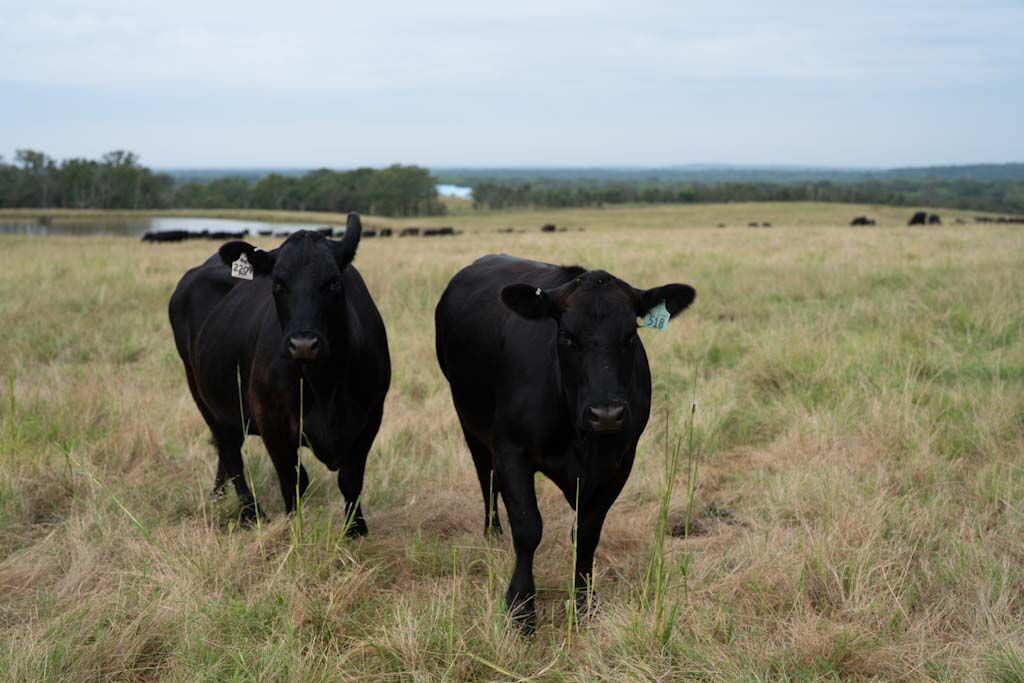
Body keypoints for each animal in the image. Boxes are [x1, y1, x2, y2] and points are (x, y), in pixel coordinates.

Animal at [168, 213, 390, 536]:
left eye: (333, 281)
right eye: (277, 283)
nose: (303, 344)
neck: (325, 384)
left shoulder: (370, 417)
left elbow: (350, 480)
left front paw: (356, 531)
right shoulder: (271, 420)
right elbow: (293, 480)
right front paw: (295, 529)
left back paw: (217, 497)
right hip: (201, 393)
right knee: (230, 453)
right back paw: (251, 513)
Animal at [434, 254, 696, 629]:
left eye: (631, 334)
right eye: (567, 336)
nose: (606, 413)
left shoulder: (619, 463)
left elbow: (586, 534)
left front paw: (585, 603)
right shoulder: (511, 450)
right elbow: (528, 528)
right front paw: (521, 607)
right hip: (468, 418)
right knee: (486, 478)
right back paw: (492, 533)